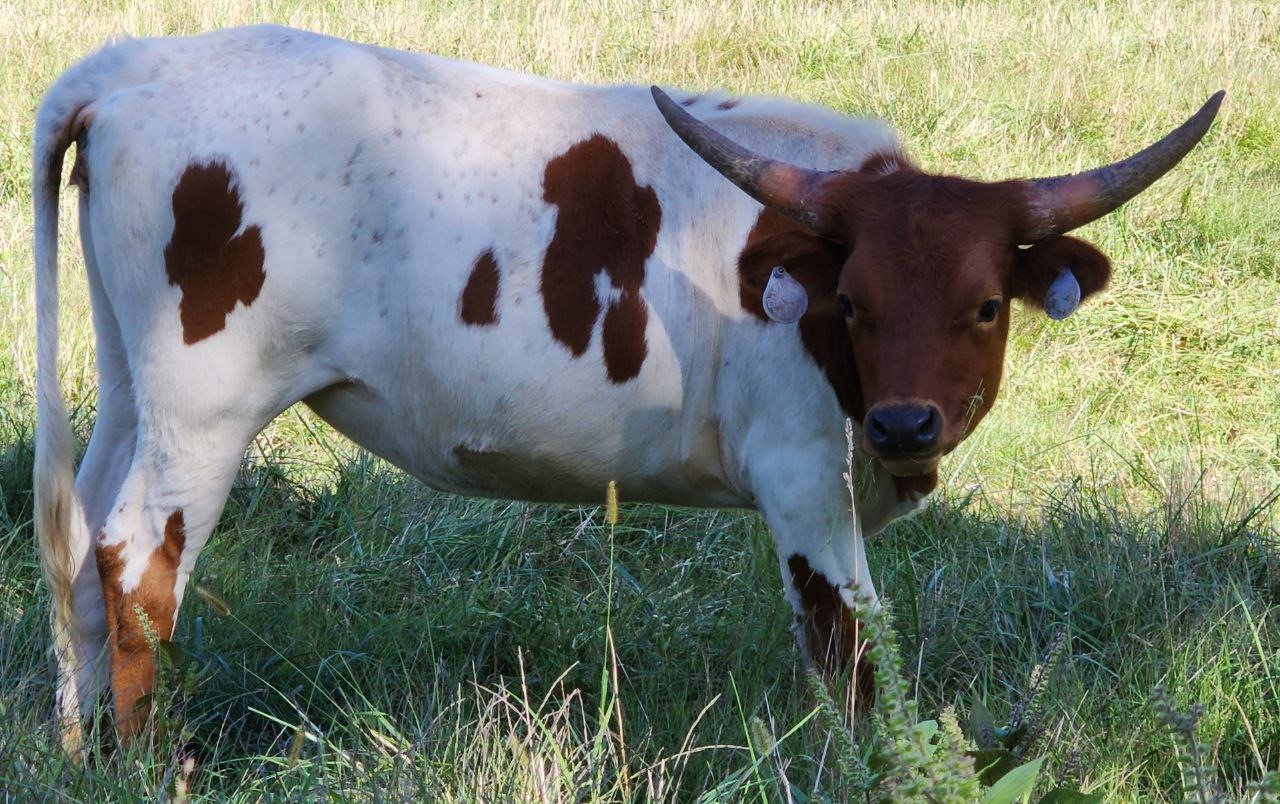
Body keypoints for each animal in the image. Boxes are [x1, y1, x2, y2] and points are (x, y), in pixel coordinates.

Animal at [32, 24, 1221, 749]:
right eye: (854, 304)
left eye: (981, 305)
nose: (902, 421)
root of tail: (136, 65)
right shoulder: (803, 475)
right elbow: (851, 641)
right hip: (205, 408)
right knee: (137, 564)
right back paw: (149, 762)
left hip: (133, 388)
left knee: (79, 550)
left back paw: (85, 752)